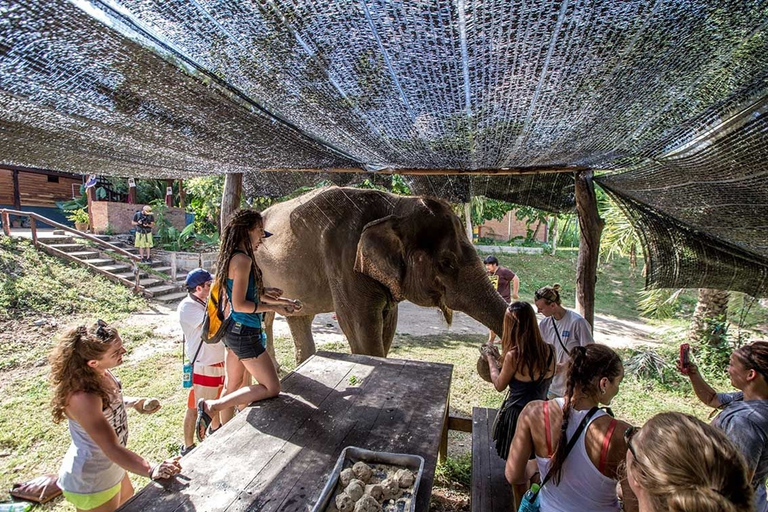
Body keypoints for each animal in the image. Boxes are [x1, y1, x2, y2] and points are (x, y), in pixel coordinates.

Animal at [258, 186, 510, 362]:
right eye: (447, 263)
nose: (488, 351)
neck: (396, 205)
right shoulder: (343, 260)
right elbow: (361, 328)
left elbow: (388, 325)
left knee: (295, 317)